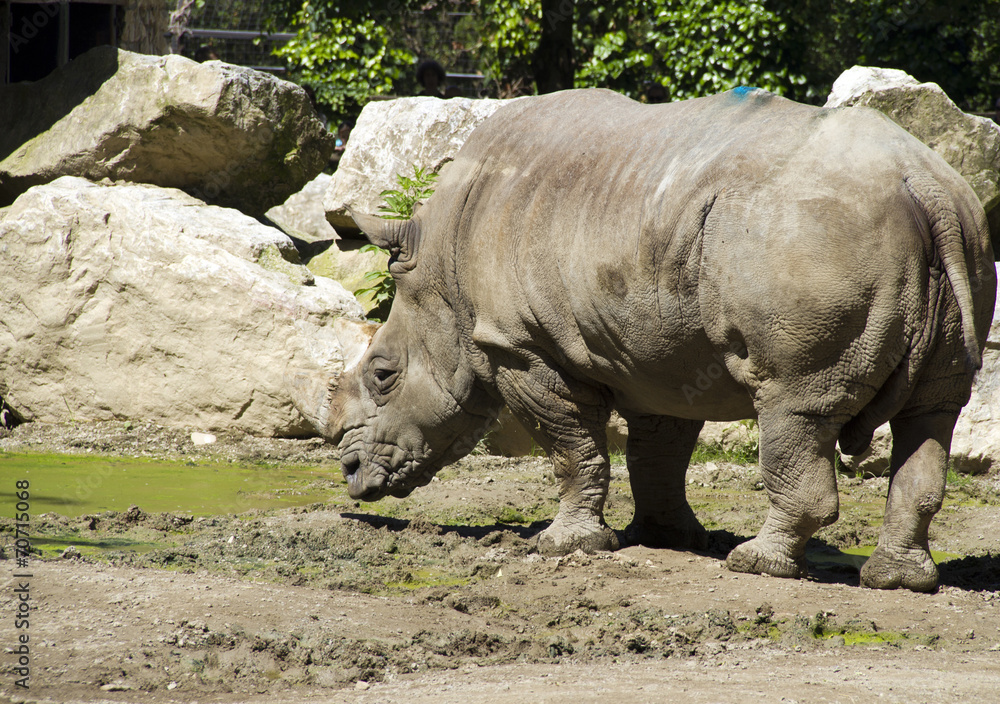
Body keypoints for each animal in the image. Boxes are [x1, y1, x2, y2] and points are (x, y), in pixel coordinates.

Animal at [291, 88, 995, 593]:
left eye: (382, 374)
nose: (350, 475)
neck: (444, 273)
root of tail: (923, 184)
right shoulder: (660, 351)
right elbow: (659, 450)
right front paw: (668, 538)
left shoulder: (523, 348)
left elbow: (572, 449)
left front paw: (563, 547)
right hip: (962, 233)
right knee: (933, 412)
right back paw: (898, 582)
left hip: (807, 239)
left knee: (792, 404)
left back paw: (755, 566)